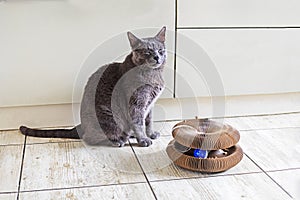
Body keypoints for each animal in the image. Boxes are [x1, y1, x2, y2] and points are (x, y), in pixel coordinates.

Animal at [19, 26, 166, 147]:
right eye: (147, 52)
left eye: (160, 50)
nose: (157, 57)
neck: (154, 74)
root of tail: (81, 126)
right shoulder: (136, 103)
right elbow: (138, 123)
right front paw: (144, 139)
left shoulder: (150, 105)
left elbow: (149, 121)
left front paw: (151, 134)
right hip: (110, 117)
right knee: (90, 138)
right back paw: (119, 140)